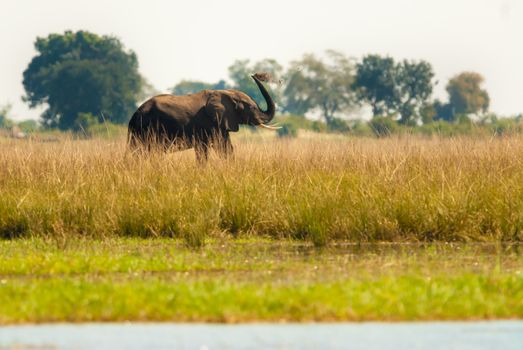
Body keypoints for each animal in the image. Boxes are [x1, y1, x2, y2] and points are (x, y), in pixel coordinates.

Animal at [127, 75, 278, 161]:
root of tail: (135, 114)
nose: (254, 74)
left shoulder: (220, 124)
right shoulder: (207, 124)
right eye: (252, 108)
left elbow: (226, 148)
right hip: (145, 128)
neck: (226, 93)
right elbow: (204, 150)